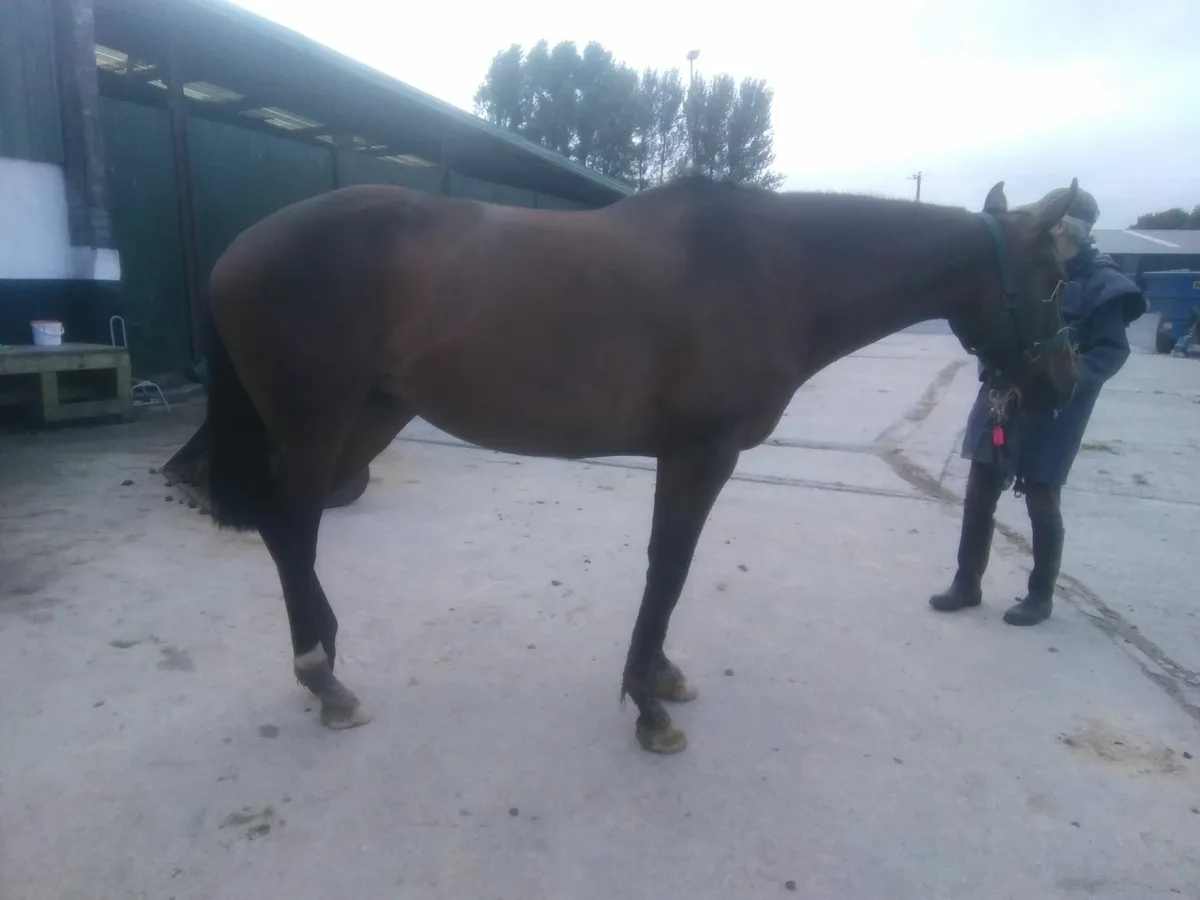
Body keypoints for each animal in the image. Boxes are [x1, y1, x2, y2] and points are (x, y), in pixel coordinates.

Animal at [203, 174, 1079, 754]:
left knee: (287, 535)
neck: (773, 269)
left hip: (371, 418)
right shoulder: (701, 453)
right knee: (292, 530)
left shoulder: (683, 456)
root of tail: (234, 253)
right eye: (1056, 276)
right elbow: (671, 566)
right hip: (319, 426)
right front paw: (649, 708)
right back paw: (325, 681)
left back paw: (326, 661)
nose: (1064, 380)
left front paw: (657, 677)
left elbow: (670, 567)